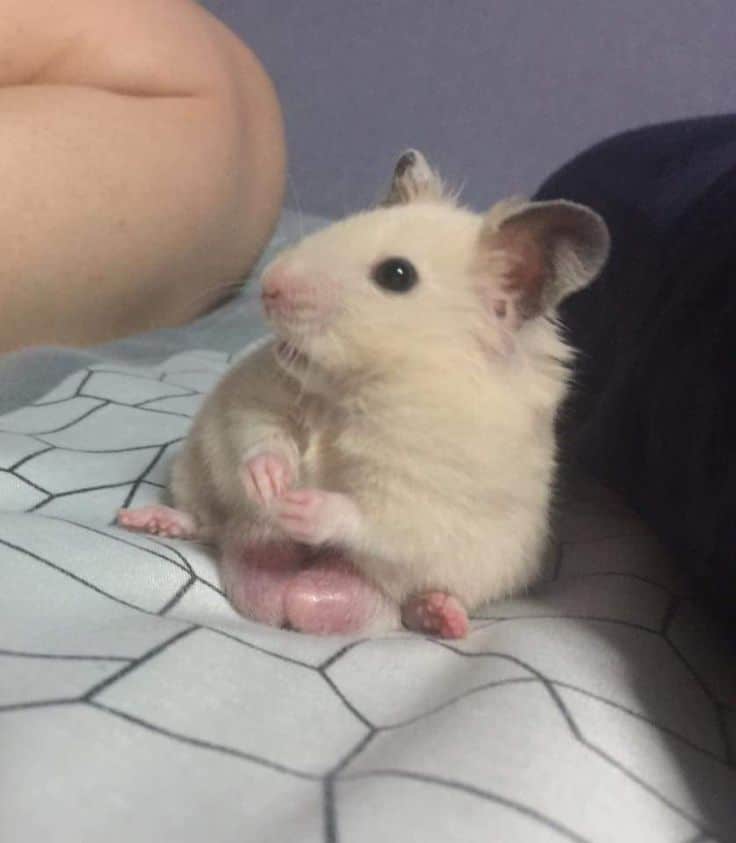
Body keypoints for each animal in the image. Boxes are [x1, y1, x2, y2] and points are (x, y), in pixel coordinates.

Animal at [118, 150, 610, 638]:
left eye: (397, 274)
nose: (267, 286)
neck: (356, 388)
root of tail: (292, 588)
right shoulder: (255, 395)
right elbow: (260, 434)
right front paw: (273, 484)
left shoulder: (421, 491)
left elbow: (374, 517)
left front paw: (300, 506)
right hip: (196, 479)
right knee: (207, 524)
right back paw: (149, 520)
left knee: (406, 606)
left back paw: (443, 616)